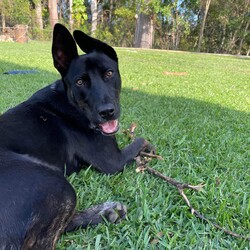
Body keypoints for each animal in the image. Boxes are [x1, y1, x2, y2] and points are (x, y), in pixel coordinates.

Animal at [0, 23, 152, 250]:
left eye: (109, 73)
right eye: (80, 82)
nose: (107, 112)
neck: (69, 101)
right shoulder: (112, 161)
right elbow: (141, 140)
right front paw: (148, 149)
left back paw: (107, 213)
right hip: (56, 184)